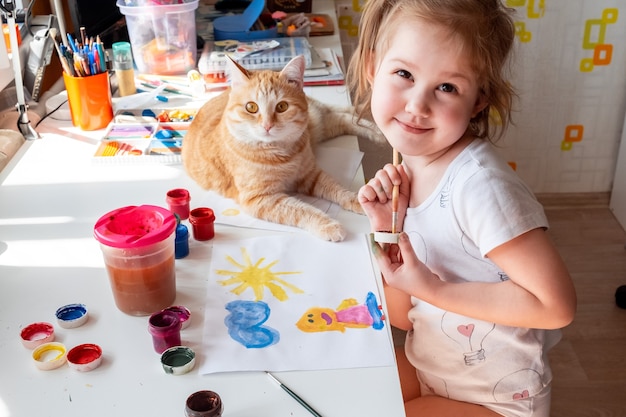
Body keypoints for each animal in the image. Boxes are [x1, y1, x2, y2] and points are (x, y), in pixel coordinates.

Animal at [183, 57, 382, 242]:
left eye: (282, 106)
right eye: (251, 107)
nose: (267, 125)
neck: (280, 153)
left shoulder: (311, 175)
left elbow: (338, 189)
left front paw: (359, 200)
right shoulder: (263, 199)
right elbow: (302, 210)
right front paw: (328, 224)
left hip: (318, 121)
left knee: (344, 114)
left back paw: (377, 131)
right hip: (321, 127)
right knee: (342, 118)